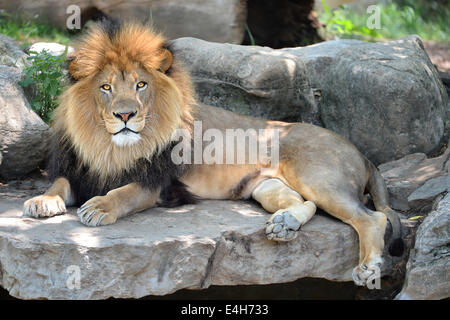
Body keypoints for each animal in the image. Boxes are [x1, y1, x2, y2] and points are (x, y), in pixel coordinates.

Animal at [22, 20, 404, 286]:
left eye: (141, 85)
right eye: (106, 87)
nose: (125, 115)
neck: (108, 148)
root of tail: (358, 150)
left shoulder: (158, 184)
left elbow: (124, 193)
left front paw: (99, 207)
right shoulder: (77, 170)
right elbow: (58, 184)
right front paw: (41, 201)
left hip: (317, 175)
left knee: (372, 217)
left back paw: (368, 267)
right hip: (265, 187)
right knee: (302, 202)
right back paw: (284, 224)